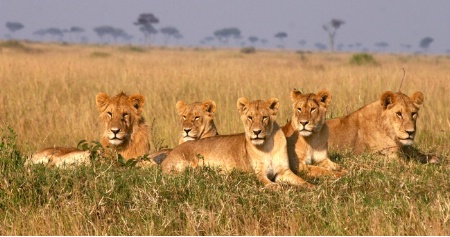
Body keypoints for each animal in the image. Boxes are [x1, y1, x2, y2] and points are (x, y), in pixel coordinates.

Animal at [161, 96, 312, 189]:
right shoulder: (259, 173)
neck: (267, 146)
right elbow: (270, 184)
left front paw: (312, 187)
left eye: (264, 117)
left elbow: (302, 181)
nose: (257, 132)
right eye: (250, 117)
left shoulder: (283, 171)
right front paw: (279, 187)